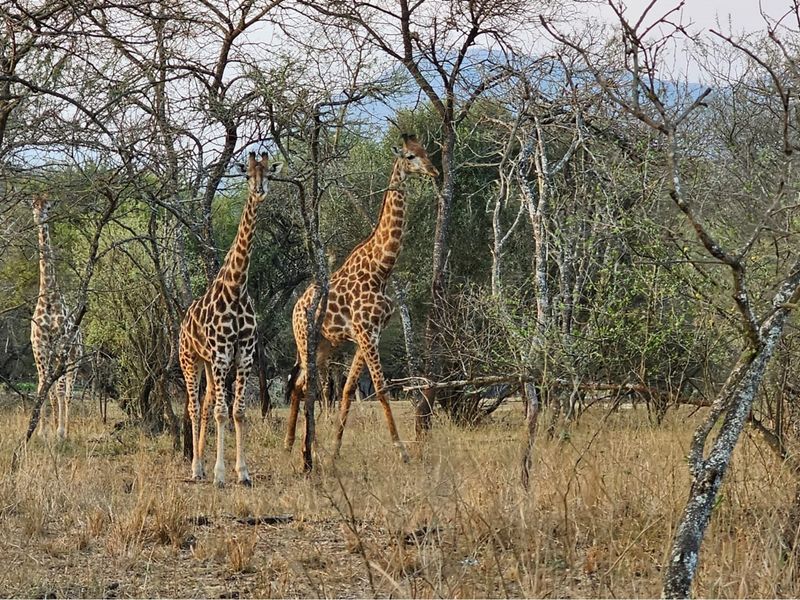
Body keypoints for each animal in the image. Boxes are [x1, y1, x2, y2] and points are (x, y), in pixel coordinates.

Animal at [179, 152, 281, 487]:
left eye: (269, 174)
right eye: (247, 175)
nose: (259, 191)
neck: (237, 287)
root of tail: (182, 323)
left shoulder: (244, 354)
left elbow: (237, 412)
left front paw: (243, 473)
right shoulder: (223, 354)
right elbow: (222, 413)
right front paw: (220, 475)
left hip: (210, 365)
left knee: (206, 403)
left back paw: (201, 466)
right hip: (191, 359)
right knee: (194, 407)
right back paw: (196, 468)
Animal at [285, 133, 439, 463]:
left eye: (426, 151)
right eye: (409, 156)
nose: (433, 171)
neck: (381, 269)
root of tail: (296, 307)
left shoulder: (368, 334)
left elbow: (348, 389)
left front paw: (336, 450)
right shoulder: (366, 333)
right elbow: (380, 388)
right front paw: (402, 451)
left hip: (325, 345)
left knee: (302, 385)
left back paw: (297, 445)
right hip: (305, 340)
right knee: (305, 386)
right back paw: (303, 446)